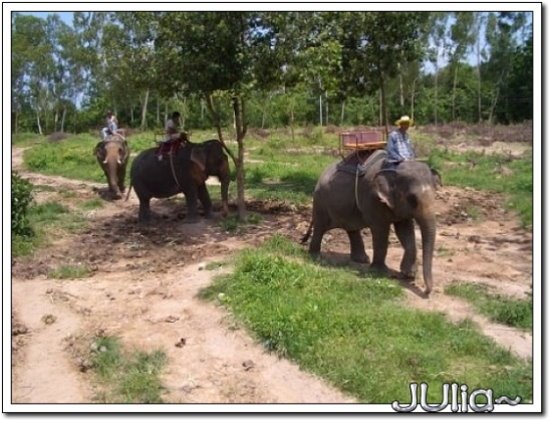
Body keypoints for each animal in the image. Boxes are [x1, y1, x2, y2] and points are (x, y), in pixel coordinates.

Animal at [304, 149, 442, 294]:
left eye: (435, 194)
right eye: (412, 198)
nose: (426, 291)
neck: (394, 169)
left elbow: (405, 230)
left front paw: (408, 274)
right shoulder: (373, 198)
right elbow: (381, 230)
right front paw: (381, 273)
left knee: (352, 228)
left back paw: (362, 260)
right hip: (320, 201)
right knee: (320, 227)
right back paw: (316, 257)